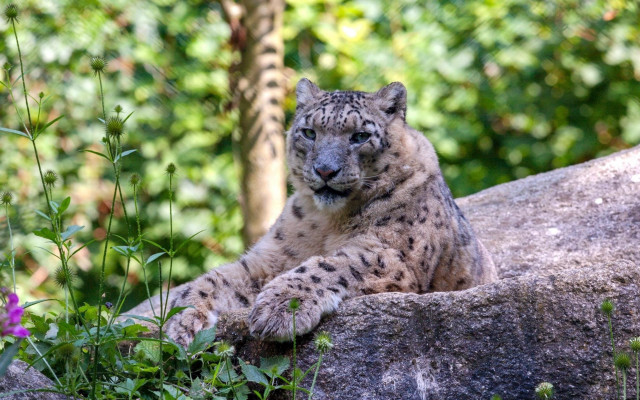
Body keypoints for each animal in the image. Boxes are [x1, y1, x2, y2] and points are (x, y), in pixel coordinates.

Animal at [130, 79, 497, 346]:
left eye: (360, 136)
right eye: (309, 132)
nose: (324, 170)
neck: (328, 221)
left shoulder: (392, 253)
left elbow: (329, 265)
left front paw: (281, 308)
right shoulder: (272, 257)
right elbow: (216, 278)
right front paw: (181, 320)